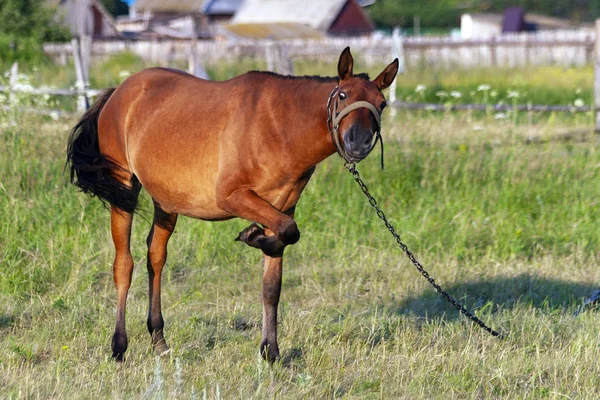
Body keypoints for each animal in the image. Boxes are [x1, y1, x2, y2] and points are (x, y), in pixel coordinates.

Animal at [67, 47, 398, 362]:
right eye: (343, 95)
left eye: (381, 104)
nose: (358, 142)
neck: (278, 127)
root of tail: (120, 91)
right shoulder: (231, 197)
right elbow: (288, 232)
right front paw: (252, 236)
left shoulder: (280, 207)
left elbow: (273, 281)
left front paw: (270, 351)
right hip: (123, 188)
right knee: (124, 264)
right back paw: (119, 346)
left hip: (166, 202)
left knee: (156, 257)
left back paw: (159, 340)